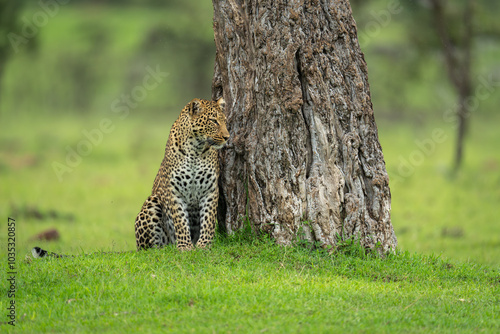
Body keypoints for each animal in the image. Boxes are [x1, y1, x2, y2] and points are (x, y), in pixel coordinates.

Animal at [33, 97, 230, 258]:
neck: (196, 149)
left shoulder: (210, 191)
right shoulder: (174, 193)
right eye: (213, 121)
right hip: (152, 202)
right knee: (150, 249)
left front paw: (203, 246)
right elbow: (181, 221)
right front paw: (186, 248)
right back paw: (164, 249)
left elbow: (208, 220)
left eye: (225, 121)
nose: (227, 137)